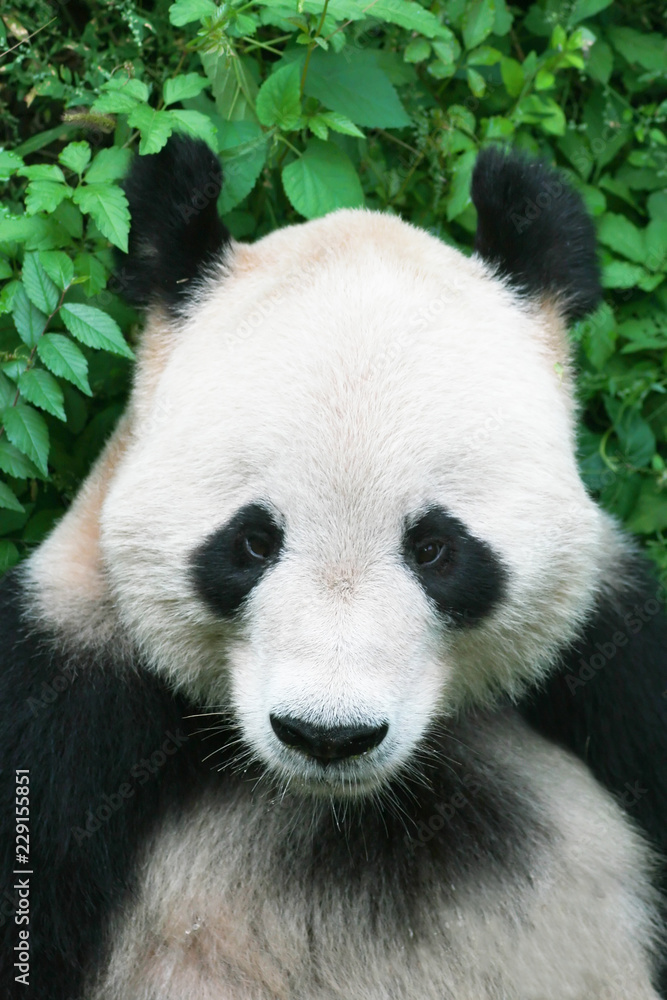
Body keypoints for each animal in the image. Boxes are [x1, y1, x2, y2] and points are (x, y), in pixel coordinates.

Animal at [1, 134, 666, 1000]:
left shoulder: (612, 666)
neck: (355, 807)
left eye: (434, 549)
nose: (328, 736)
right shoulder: (66, 701)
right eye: (252, 543)